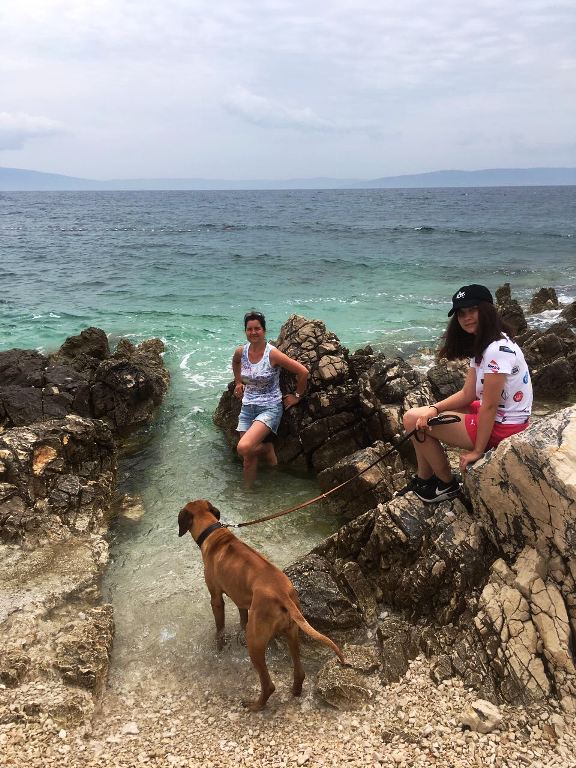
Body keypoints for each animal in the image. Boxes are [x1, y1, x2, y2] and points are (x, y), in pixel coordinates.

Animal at [178, 499, 345, 711]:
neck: (214, 533)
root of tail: (282, 594)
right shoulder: (241, 600)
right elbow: (242, 618)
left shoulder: (216, 598)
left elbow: (220, 628)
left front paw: (219, 647)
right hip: (292, 632)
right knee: (299, 671)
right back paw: (295, 691)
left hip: (256, 641)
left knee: (268, 685)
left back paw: (254, 705)